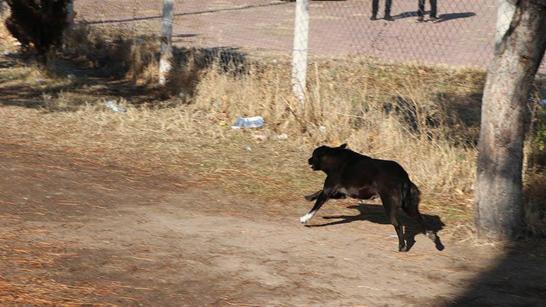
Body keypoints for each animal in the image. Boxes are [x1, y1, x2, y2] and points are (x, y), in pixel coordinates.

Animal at [300, 144, 436, 253]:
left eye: (313, 155)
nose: (308, 160)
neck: (334, 159)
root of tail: (404, 177)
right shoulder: (340, 194)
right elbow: (318, 193)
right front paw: (309, 197)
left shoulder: (328, 190)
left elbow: (315, 207)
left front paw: (305, 218)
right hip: (409, 206)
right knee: (420, 219)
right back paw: (431, 236)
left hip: (390, 206)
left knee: (398, 225)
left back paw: (402, 246)